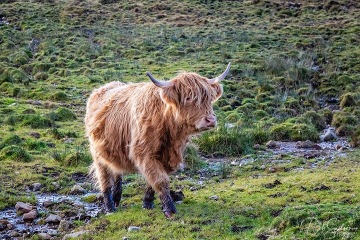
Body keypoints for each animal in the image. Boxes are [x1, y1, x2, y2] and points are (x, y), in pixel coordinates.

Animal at [84, 63, 231, 218]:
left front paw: (147, 202)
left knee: (117, 171)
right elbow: (160, 179)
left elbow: (154, 180)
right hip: (97, 152)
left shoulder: (169, 155)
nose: (211, 120)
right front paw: (169, 209)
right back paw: (110, 206)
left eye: (209, 98)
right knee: (104, 176)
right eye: (188, 98)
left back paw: (117, 197)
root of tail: (103, 88)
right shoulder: (144, 152)